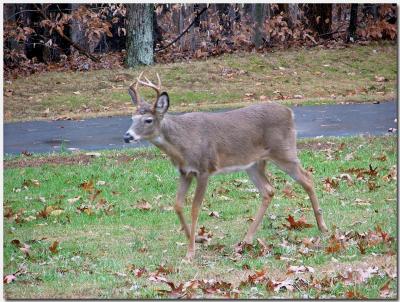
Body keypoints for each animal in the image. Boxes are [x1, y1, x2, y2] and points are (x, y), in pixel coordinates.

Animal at [124, 72, 328, 260]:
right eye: (132, 118)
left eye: (148, 120)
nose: (127, 136)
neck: (182, 144)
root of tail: (289, 112)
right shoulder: (184, 172)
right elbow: (177, 205)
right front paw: (197, 239)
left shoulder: (204, 169)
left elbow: (195, 208)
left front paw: (191, 252)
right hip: (253, 164)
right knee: (269, 190)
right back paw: (247, 239)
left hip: (284, 152)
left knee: (307, 178)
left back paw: (322, 226)